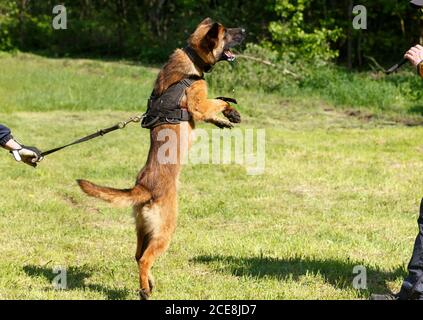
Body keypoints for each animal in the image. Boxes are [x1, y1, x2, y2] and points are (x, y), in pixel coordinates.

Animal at [78, 18, 247, 300]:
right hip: (165, 229)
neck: (191, 59)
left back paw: (148, 283)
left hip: (143, 229)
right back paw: (145, 290)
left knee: (138, 255)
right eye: (227, 32)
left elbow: (215, 107)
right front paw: (228, 111)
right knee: (146, 258)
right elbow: (215, 102)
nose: (244, 30)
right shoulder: (198, 102)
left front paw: (226, 119)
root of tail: (142, 187)